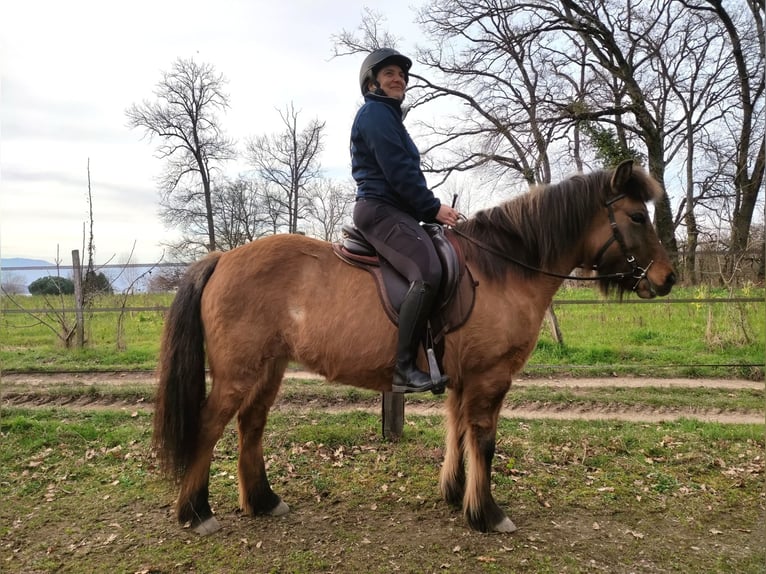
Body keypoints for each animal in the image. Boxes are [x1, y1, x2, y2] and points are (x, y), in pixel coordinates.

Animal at [152, 160, 675, 535]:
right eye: (635, 216)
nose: (667, 279)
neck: (502, 268)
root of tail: (222, 259)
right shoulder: (490, 378)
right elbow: (484, 441)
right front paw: (487, 513)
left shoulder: (463, 380)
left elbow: (458, 432)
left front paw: (457, 494)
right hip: (238, 372)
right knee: (209, 426)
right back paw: (196, 513)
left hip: (269, 368)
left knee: (251, 426)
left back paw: (262, 501)